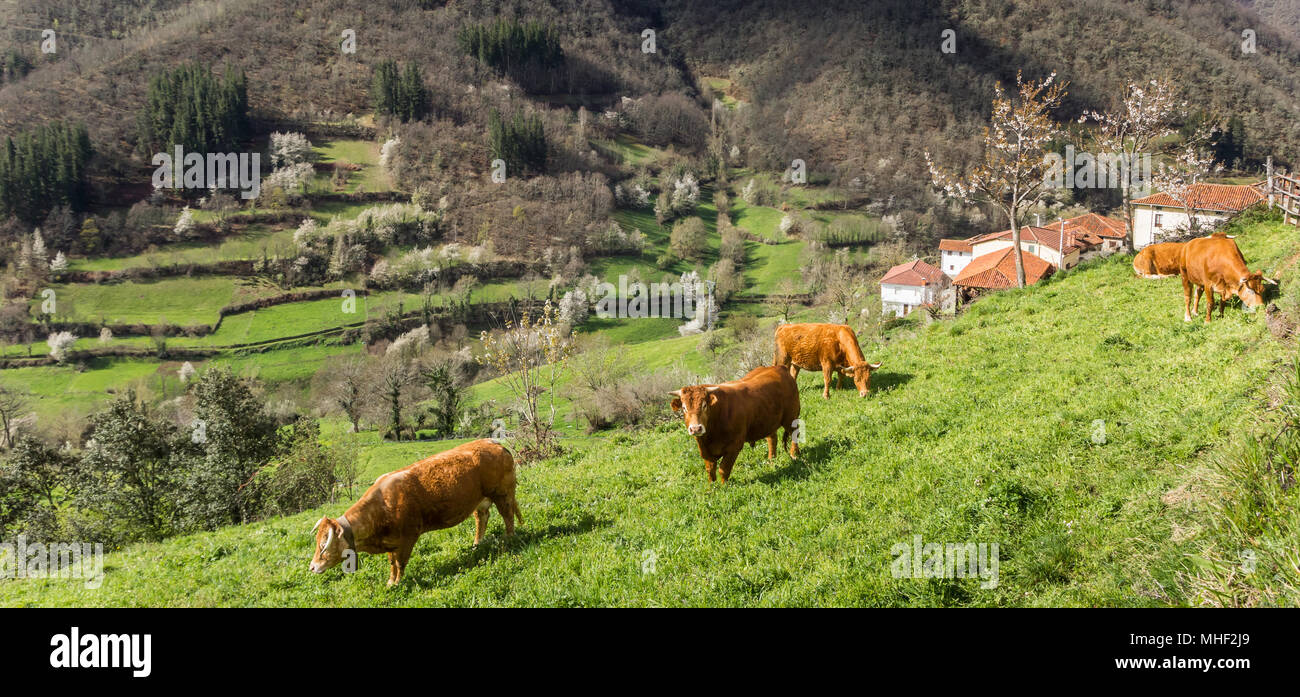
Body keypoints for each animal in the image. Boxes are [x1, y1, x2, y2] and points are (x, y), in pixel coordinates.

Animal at [308, 439, 521, 586]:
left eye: (323, 545)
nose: (312, 566)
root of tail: (492, 442)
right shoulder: (391, 543)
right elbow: (392, 564)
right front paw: (390, 583)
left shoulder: (407, 538)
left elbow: (400, 564)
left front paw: (397, 583)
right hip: (481, 500)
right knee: (482, 518)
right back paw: (477, 544)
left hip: (502, 493)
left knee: (508, 515)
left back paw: (509, 538)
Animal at [669, 365, 800, 484]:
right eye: (684, 408)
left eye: (704, 405)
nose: (696, 428)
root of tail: (779, 367)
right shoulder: (705, 450)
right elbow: (710, 470)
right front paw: (712, 488)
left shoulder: (734, 446)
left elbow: (724, 469)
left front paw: (724, 487)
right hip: (768, 421)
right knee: (772, 438)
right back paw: (771, 459)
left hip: (791, 417)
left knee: (794, 433)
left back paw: (795, 454)